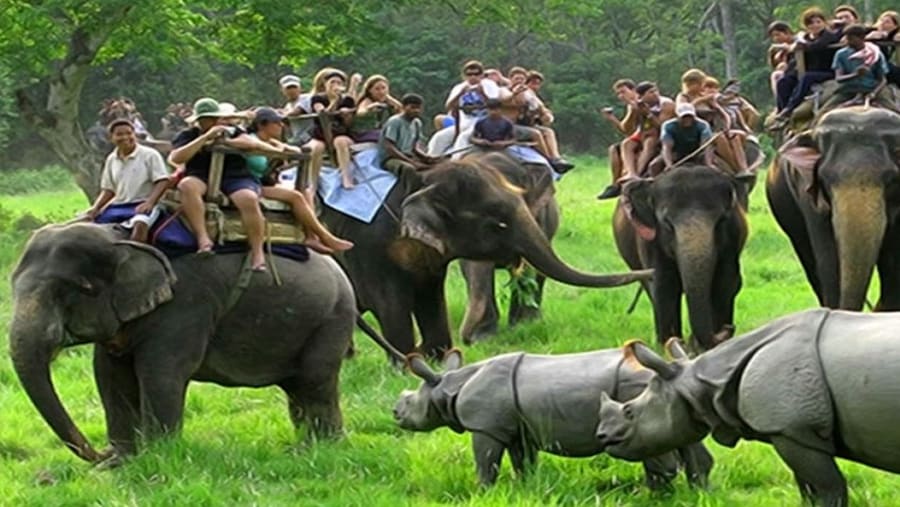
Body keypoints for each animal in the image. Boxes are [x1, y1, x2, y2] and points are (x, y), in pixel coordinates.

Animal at [393, 349, 713, 488]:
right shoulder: (517, 428)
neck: (448, 385)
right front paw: (525, 488)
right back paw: (697, 492)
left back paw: (652, 494)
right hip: (665, 397)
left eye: (409, 402)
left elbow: (486, 462)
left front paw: (482, 491)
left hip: (635, 388)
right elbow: (522, 461)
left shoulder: (485, 427)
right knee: (681, 439)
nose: (395, 412)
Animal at [595, 308, 900, 507]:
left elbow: (829, 488)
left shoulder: (791, 428)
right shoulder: (792, 433)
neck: (700, 386)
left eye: (630, 411)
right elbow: (807, 487)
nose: (603, 437)